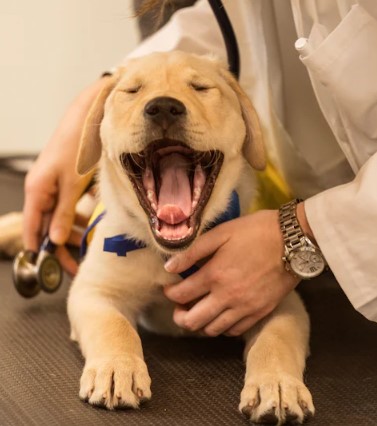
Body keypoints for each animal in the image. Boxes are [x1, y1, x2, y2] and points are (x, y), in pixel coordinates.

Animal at [67, 51, 312, 424]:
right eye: (132, 91)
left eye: (200, 87)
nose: (163, 107)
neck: (172, 255)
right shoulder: (93, 289)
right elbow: (114, 326)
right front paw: (116, 368)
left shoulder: (279, 299)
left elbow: (276, 338)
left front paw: (278, 384)